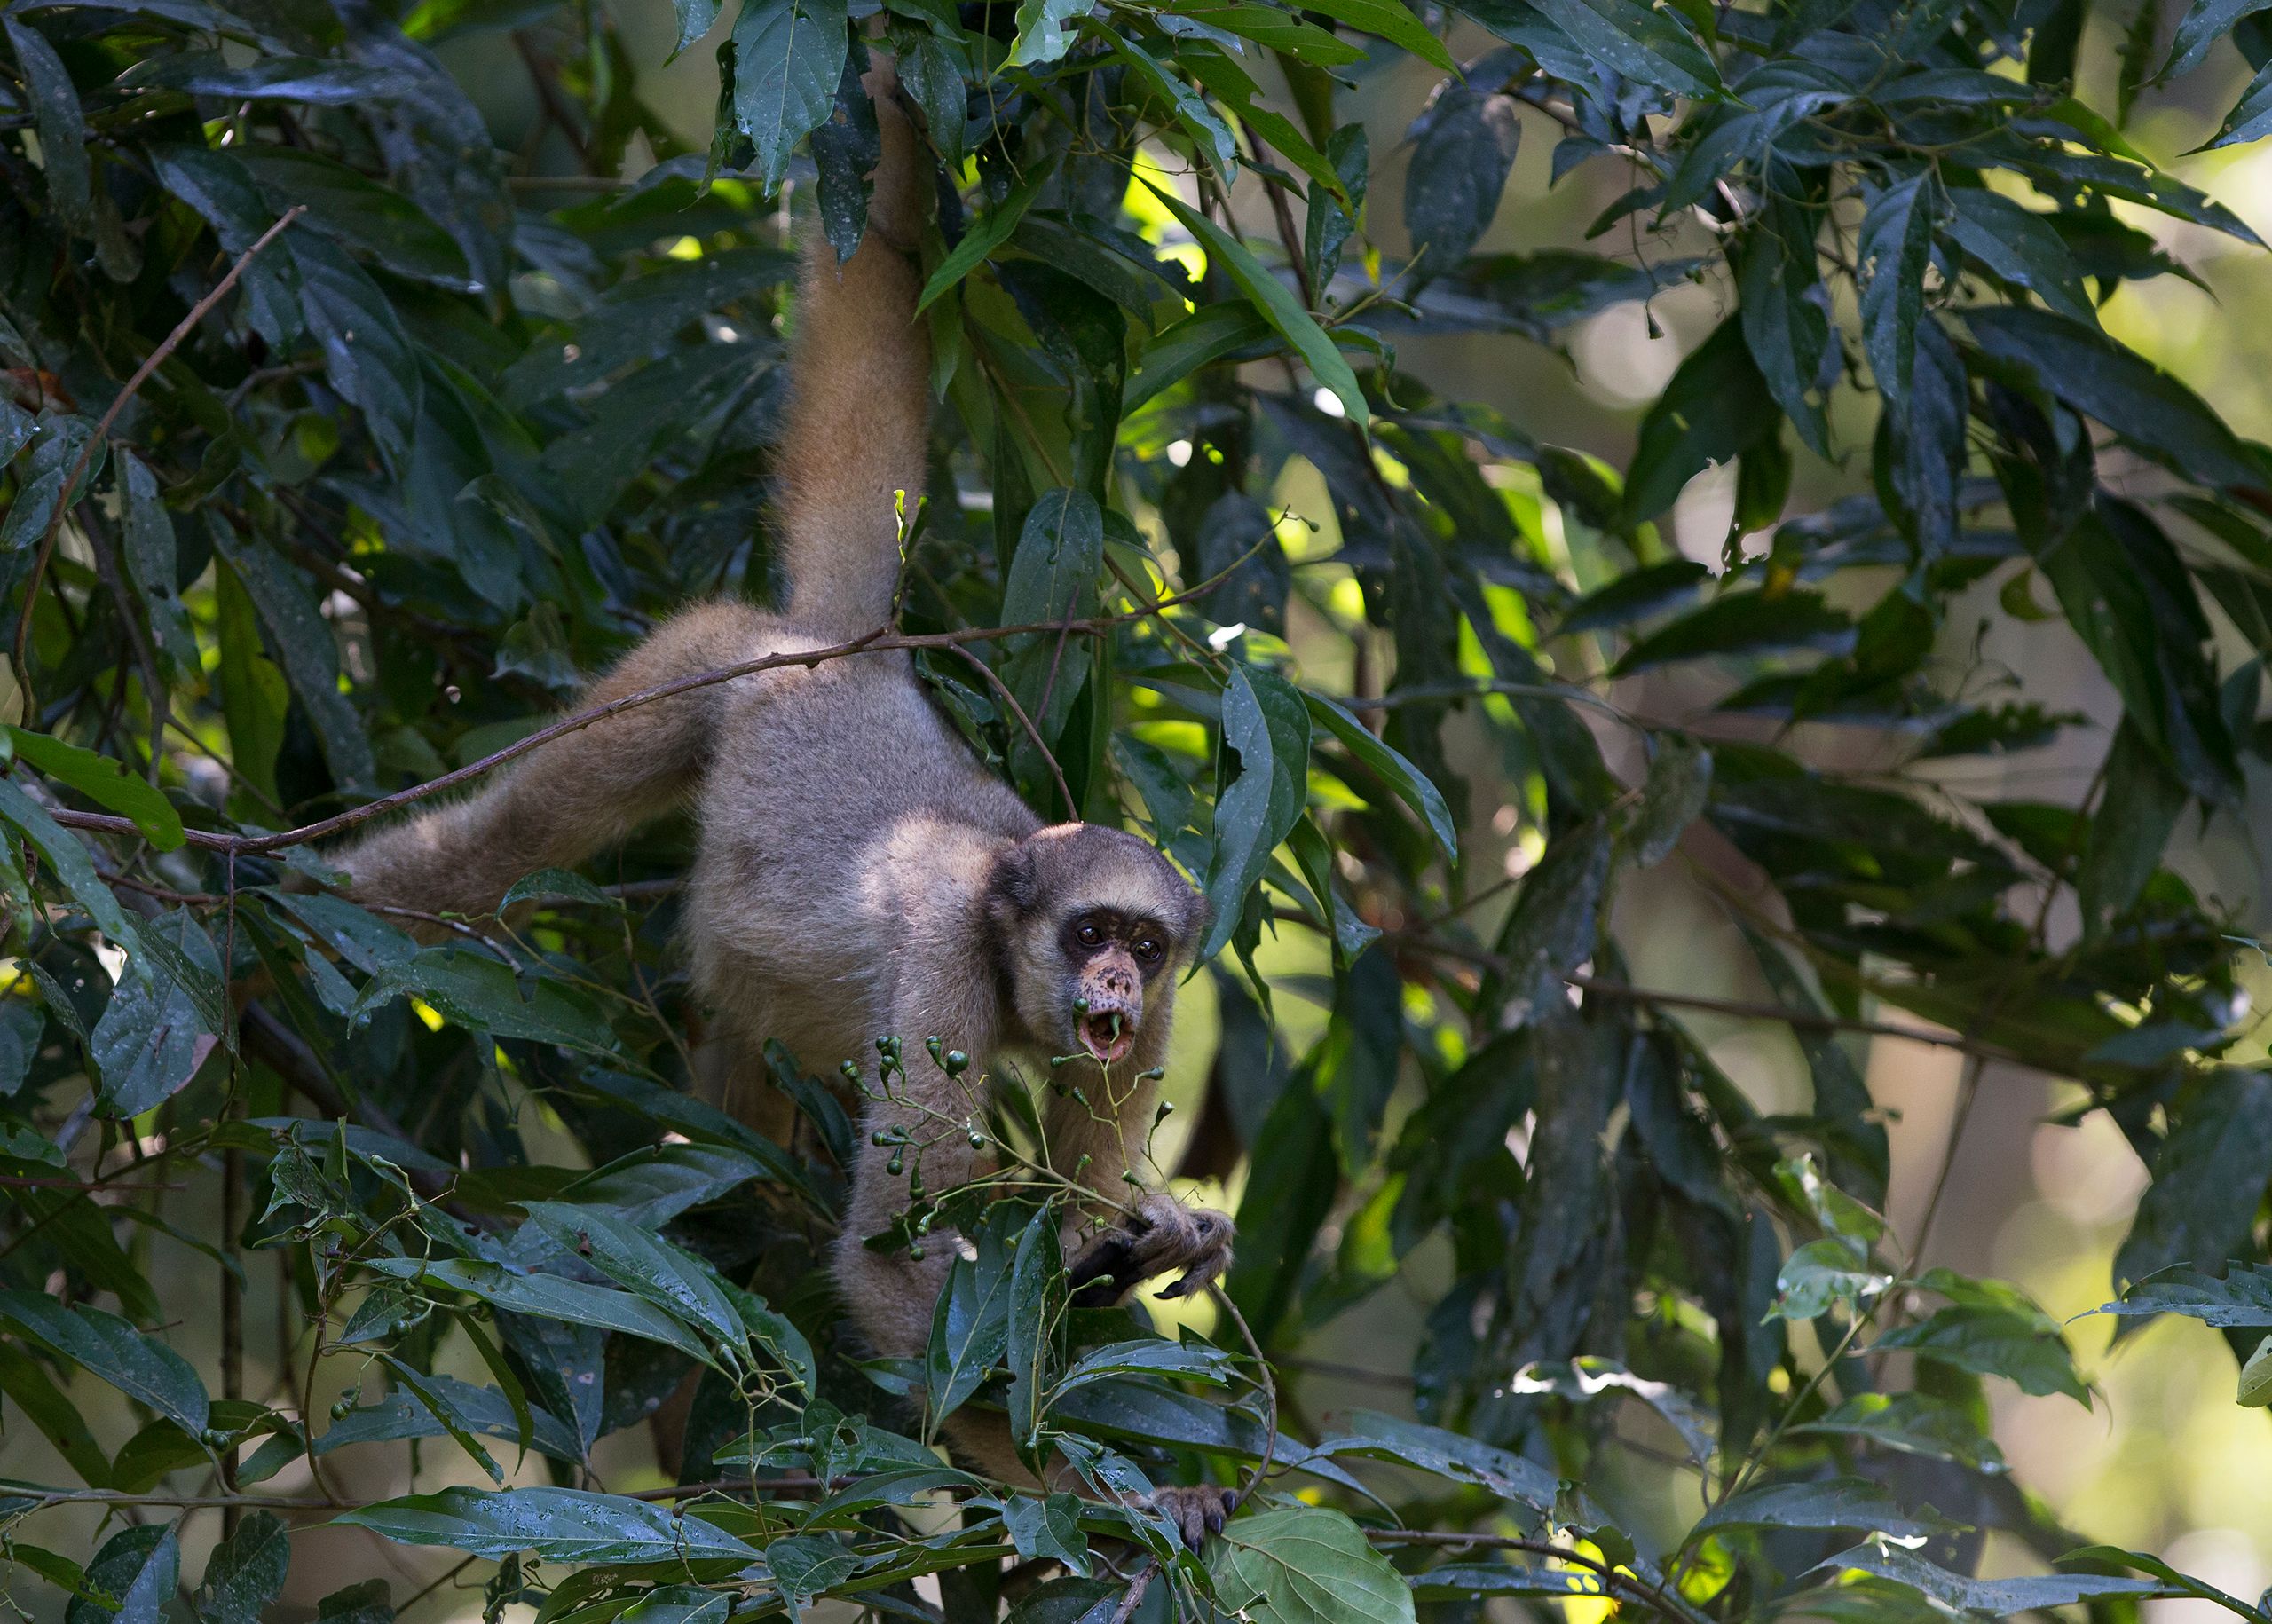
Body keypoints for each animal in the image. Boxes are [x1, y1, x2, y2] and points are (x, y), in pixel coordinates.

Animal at [331, 62, 1240, 1544]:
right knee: (506, 842)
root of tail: (845, 657)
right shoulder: (943, 965)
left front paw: (1149, 1238)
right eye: (1088, 932)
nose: (1111, 978)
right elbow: (882, 1265)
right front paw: (1101, 1496)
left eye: (1145, 945)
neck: (1006, 909)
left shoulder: (1149, 1034)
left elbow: (1061, 1207)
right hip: (709, 664)